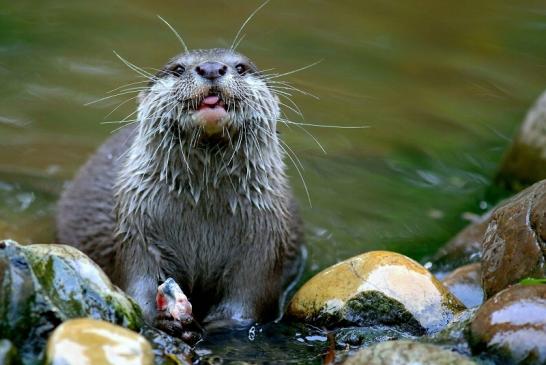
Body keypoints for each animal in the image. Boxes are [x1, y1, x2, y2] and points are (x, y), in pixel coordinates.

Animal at [57, 47, 304, 332]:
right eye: (178, 69)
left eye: (241, 67)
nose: (211, 68)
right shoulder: (137, 229)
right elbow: (137, 287)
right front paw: (164, 319)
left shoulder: (264, 241)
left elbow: (249, 300)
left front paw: (217, 325)